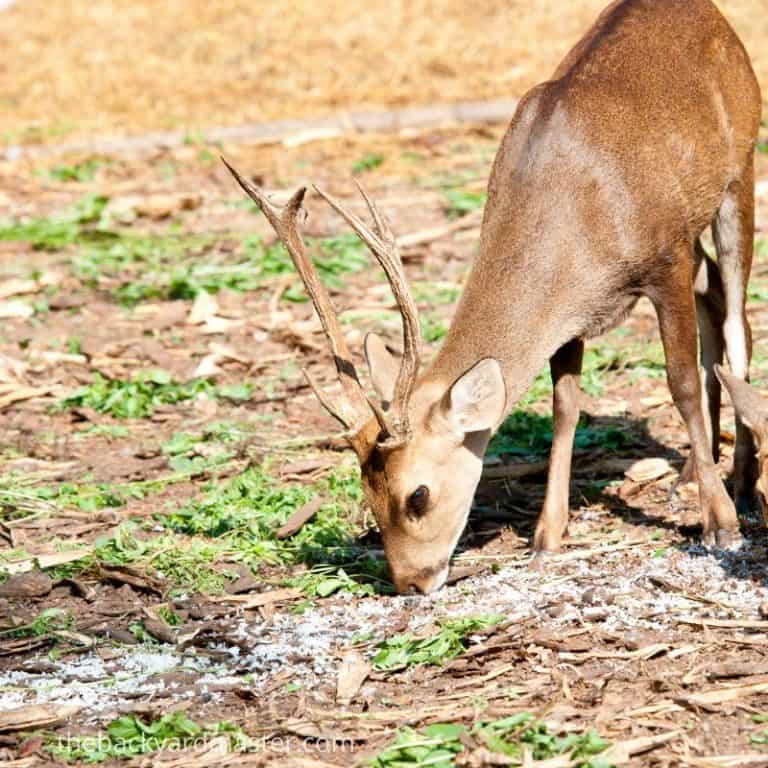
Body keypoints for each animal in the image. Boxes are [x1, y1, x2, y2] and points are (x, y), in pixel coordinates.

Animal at [225, 0, 762, 594]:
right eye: (366, 491)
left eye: (418, 494)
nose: (410, 583)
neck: (580, 225)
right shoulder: (570, 314)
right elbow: (564, 408)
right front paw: (547, 537)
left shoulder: (664, 258)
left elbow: (681, 383)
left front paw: (720, 525)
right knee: (712, 290)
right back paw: (694, 468)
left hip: (738, 168)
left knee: (737, 316)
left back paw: (743, 481)